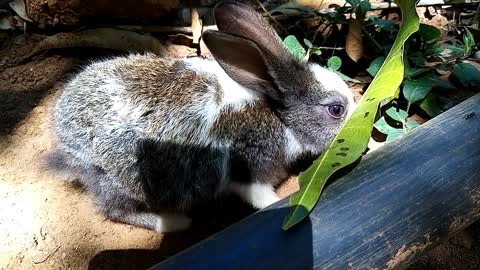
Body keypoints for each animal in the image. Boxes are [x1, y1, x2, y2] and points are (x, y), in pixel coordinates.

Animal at [50, 0, 354, 232]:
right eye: (336, 109)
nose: (357, 117)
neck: (279, 118)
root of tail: (65, 142)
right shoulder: (247, 169)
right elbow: (260, 197)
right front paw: (282, 203)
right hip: (124, 178)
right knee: (113, 209)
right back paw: (174, 223)